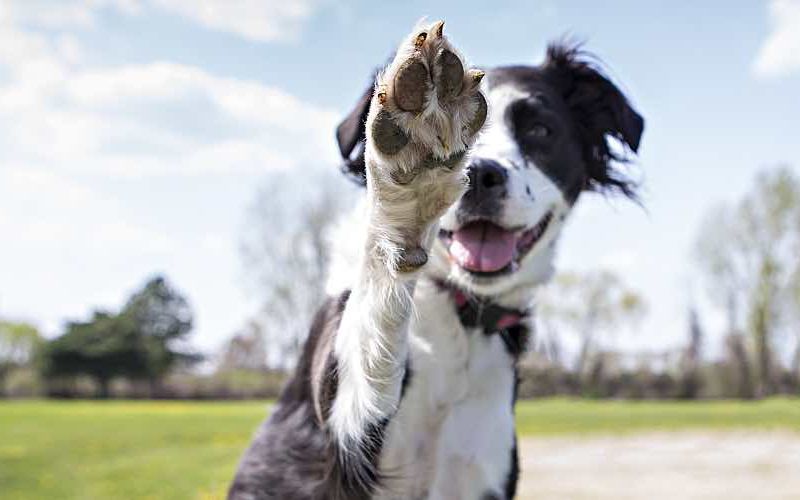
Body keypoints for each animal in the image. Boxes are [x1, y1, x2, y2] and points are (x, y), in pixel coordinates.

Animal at [230, 19, 644, 500]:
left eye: (540, 130)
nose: (481, 175)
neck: (459, 318)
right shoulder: (341, 445)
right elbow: (371, 335)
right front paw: (414, 169)